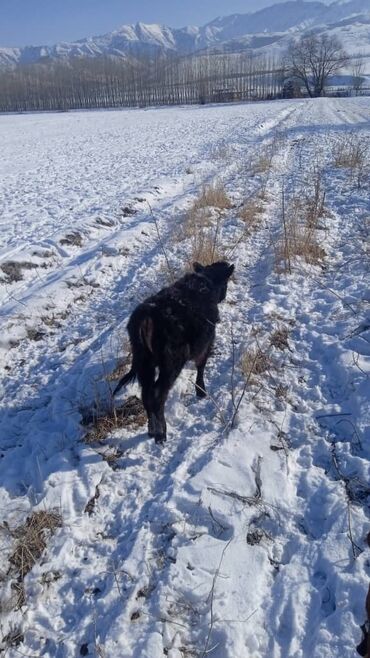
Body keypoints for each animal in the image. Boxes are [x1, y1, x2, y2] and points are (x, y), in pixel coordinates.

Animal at [113, 260, 234, 440]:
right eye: (225, 283)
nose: (223, 296)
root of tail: (146, 316)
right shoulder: (207, 342)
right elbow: (201, 366)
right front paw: (201, 391)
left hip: (145, 364)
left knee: (146, 395)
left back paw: (152, 431)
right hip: (171, 363)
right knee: (157, 395)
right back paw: (161, 434)